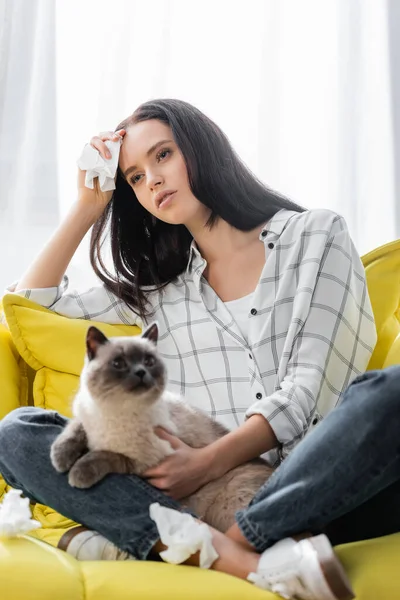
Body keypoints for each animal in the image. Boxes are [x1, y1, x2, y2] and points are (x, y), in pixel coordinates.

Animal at [50, 326, 274, 532]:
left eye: (148, 361)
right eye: (118, 363)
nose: (141, 372)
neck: (114, 411)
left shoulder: (143, 463)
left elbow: (105, 455)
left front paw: (77, 474)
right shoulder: (85, 419)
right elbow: (73, 430)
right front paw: (60, 460)